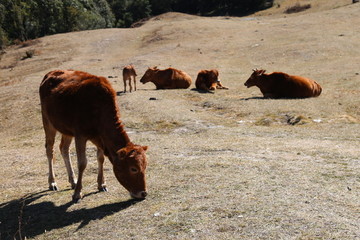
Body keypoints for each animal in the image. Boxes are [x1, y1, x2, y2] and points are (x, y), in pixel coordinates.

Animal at [40, 69, 149, 202]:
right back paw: (52, 183)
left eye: (145, 166)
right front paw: (78, 193)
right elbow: (82, 163)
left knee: (64, 148)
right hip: (47, 121)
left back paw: (73, 180)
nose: (143, 193)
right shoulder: (80, 135)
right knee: (50, 150)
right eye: (133, 168)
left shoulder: (99, 137)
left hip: (66, 129)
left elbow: (100, 158)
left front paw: (101, 184)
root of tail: (51, 72)